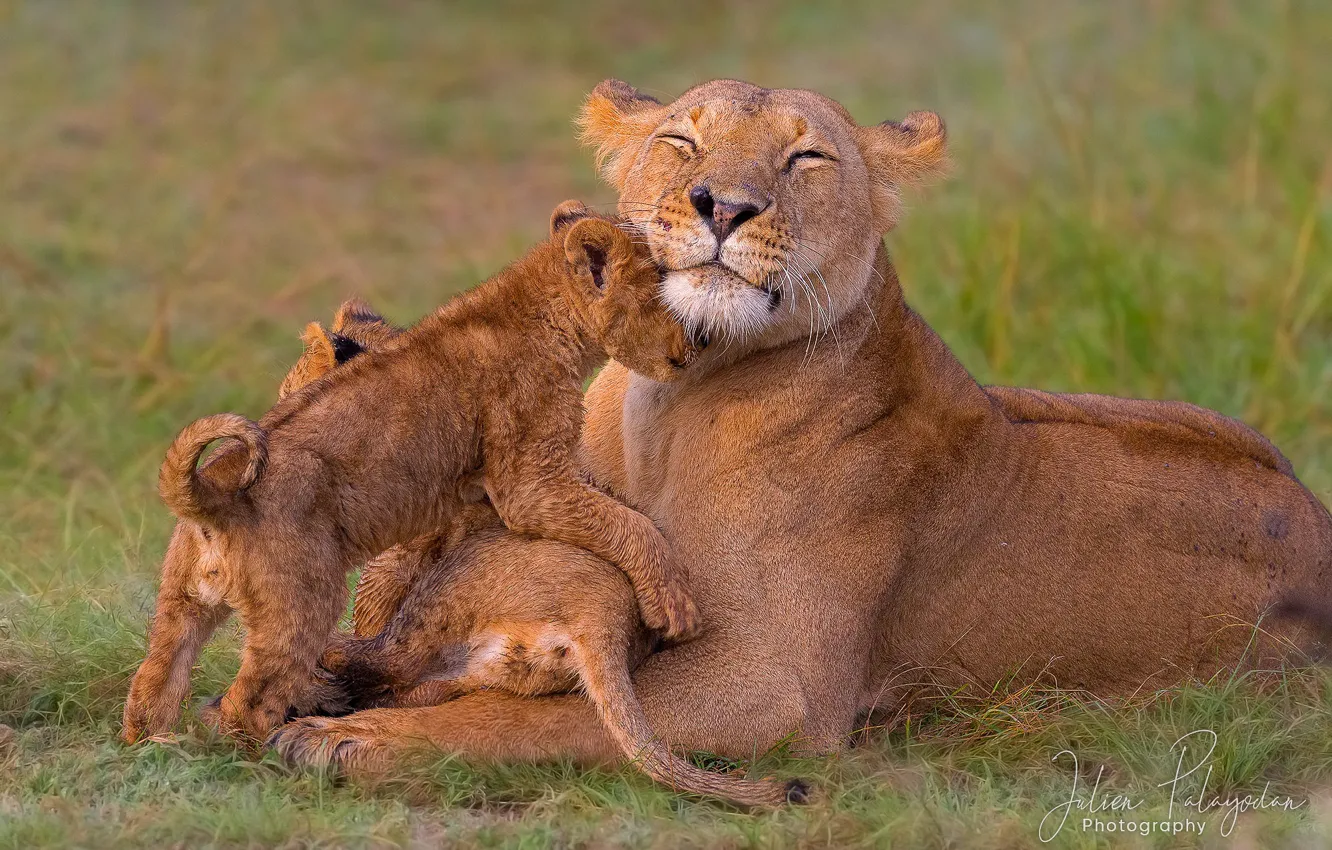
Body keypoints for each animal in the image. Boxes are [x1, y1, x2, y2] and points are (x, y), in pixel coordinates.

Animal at [121, 203, 701, 744]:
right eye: (669, 299)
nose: (695, 344)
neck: (539, 304)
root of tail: (211, 493)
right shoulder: (528, 479)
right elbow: (626, 521)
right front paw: (674, 604)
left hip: (181, 600)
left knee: (154, 679)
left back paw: (157, 746)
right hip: (302, 600)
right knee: (251, 701)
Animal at [265, 79, 1332, 776]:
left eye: (806, 156)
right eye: (683, 143)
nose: (724, 206)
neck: (668, 403)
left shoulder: (775, 683)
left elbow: (566, 719)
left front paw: (351, 736)